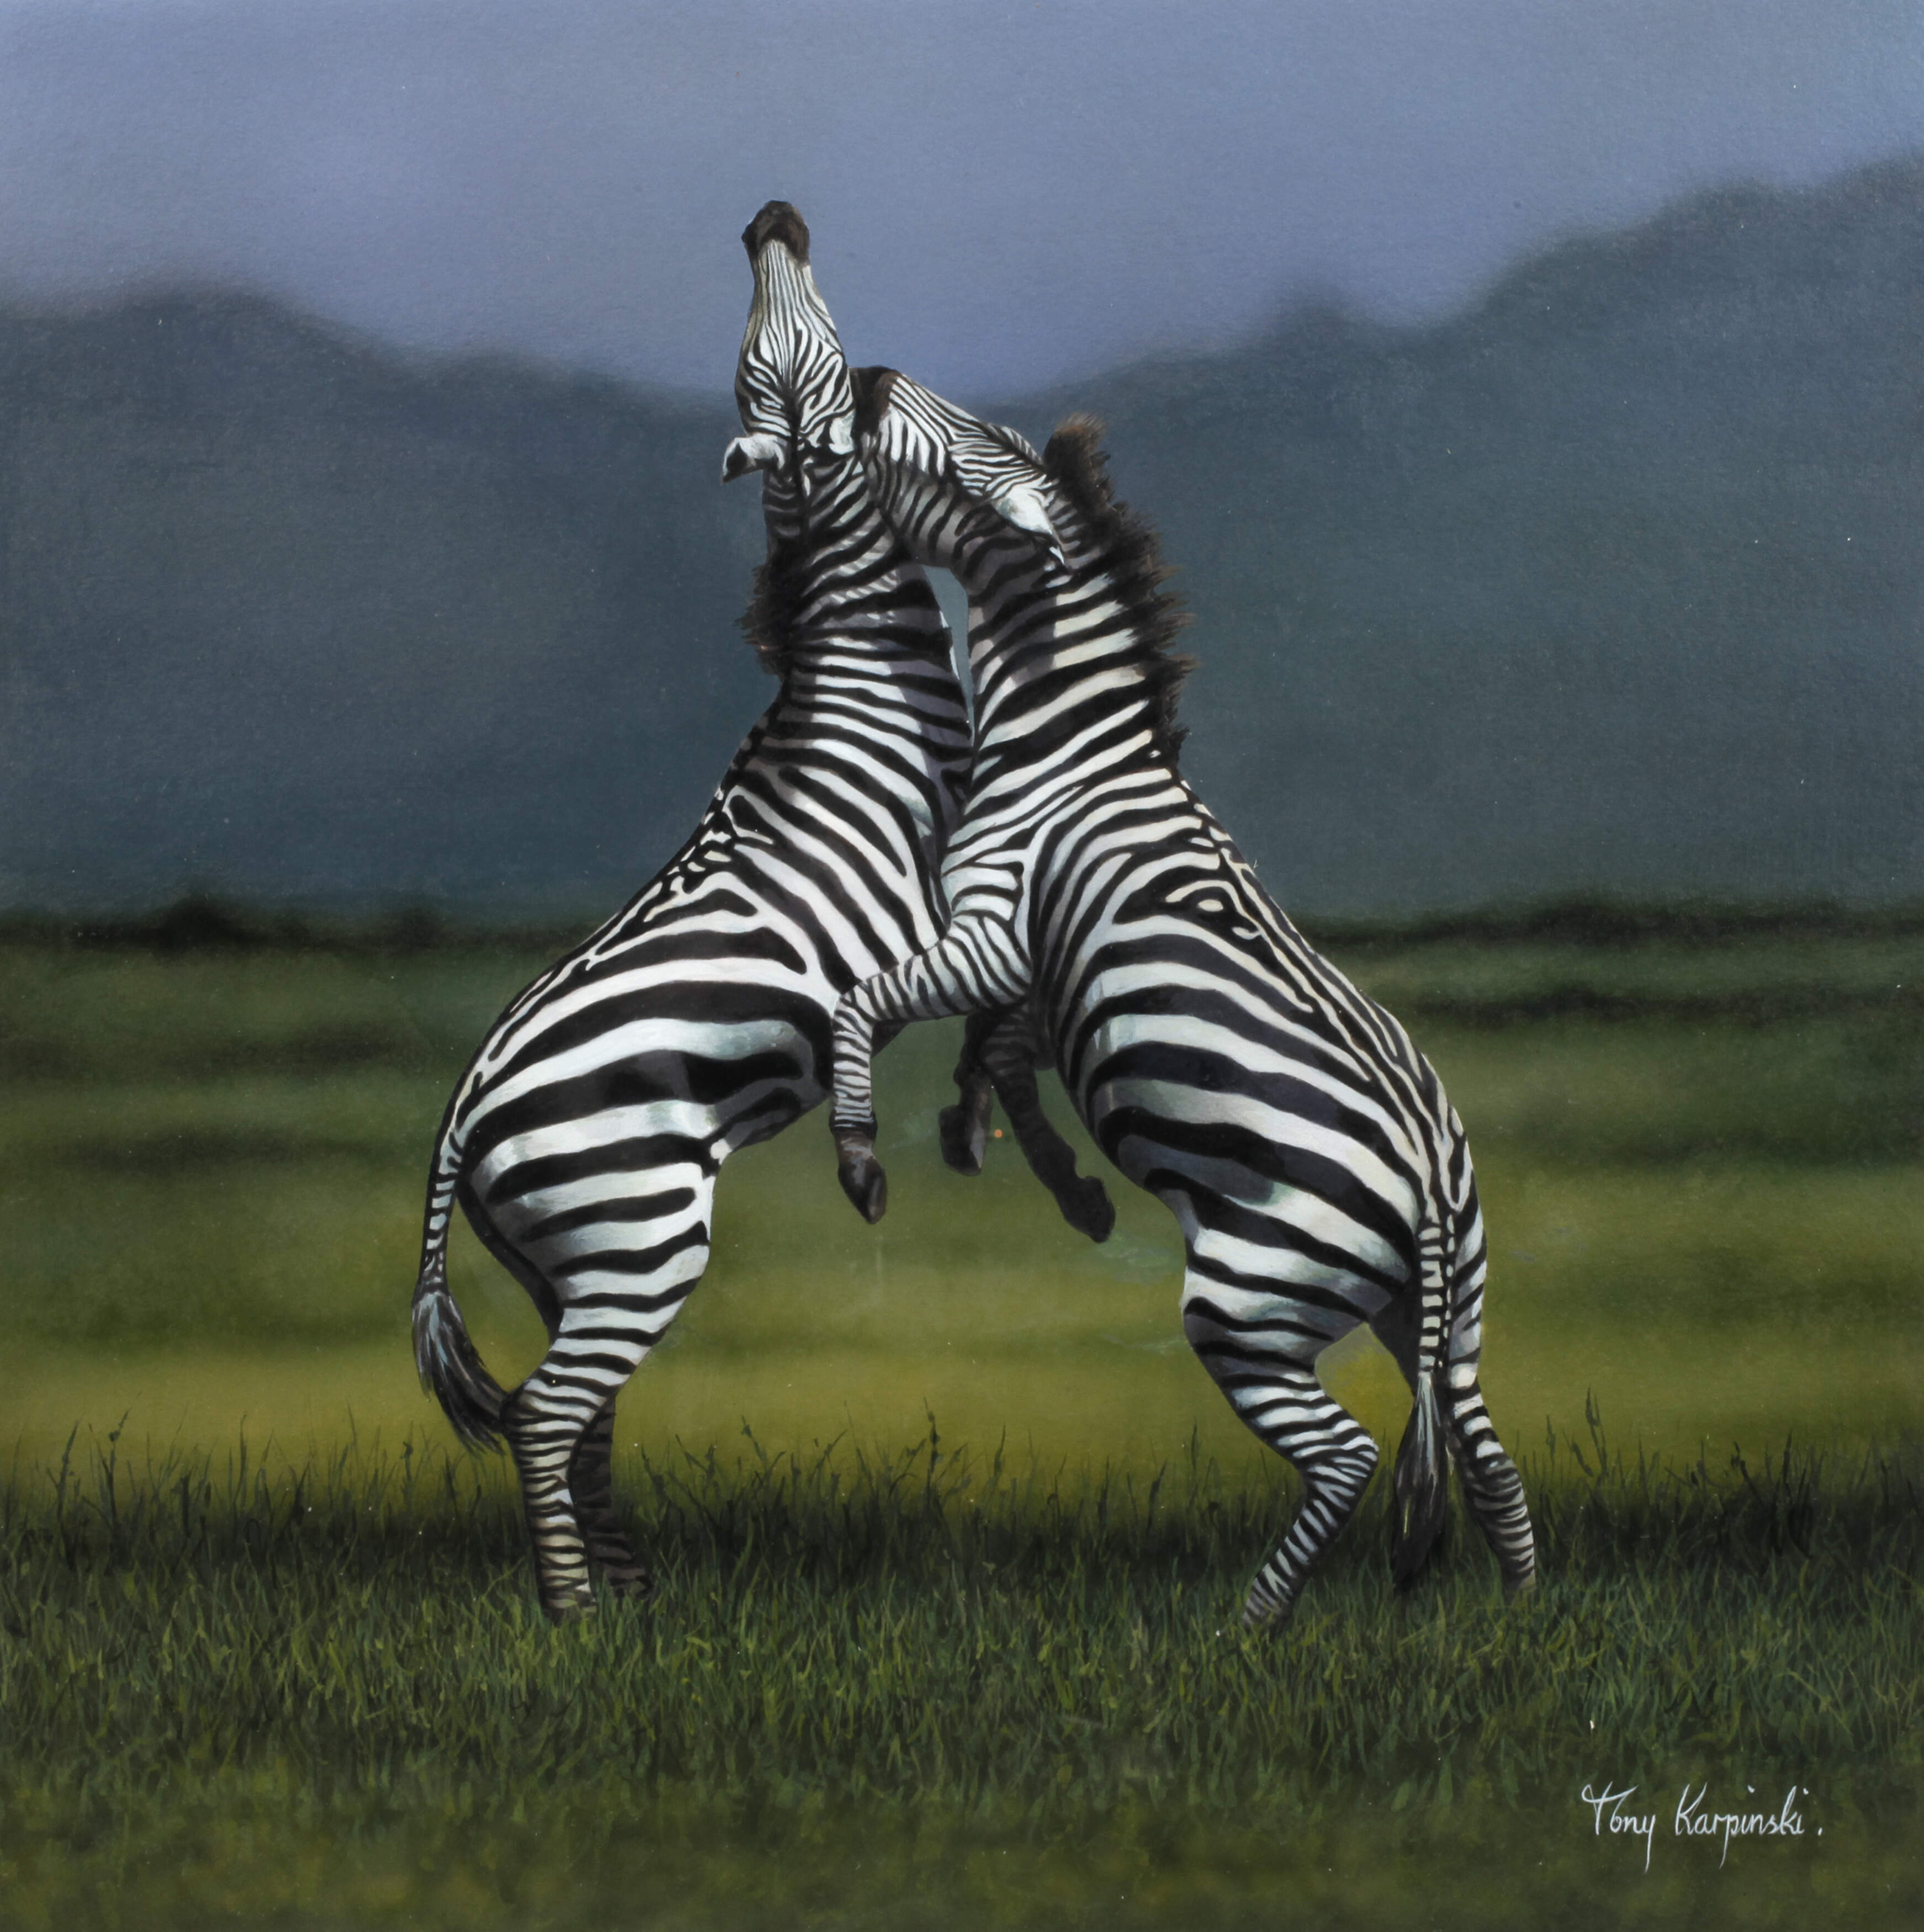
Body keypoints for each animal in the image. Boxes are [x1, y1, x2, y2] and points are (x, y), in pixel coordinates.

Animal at [408, 203, 1087, 1619]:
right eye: (799, 367)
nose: (770, 219)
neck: (859, 683)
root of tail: (456, 1121)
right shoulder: (934, 902)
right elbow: (982, 992)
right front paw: (943, 1128)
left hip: (573, 1263)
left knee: (579, 1417)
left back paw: (627, 1593)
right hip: (634, 1232)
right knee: (547, 1417)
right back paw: (573, 1616)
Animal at [827, 372, 1537, 1630]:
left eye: (958, 451)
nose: (862, 381)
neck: (1066, 747)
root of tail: (1424, 1181)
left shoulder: (992, 932)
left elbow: (868, 1005)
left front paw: (868, 1158)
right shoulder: (1033, 971)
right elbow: (995, 1057)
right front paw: (1030, 1166)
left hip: (1249, 1302)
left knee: (1349, 1457)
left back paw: (1245, 1631)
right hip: (1441, 1316)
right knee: (1485, 1454)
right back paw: (1522, 1620)